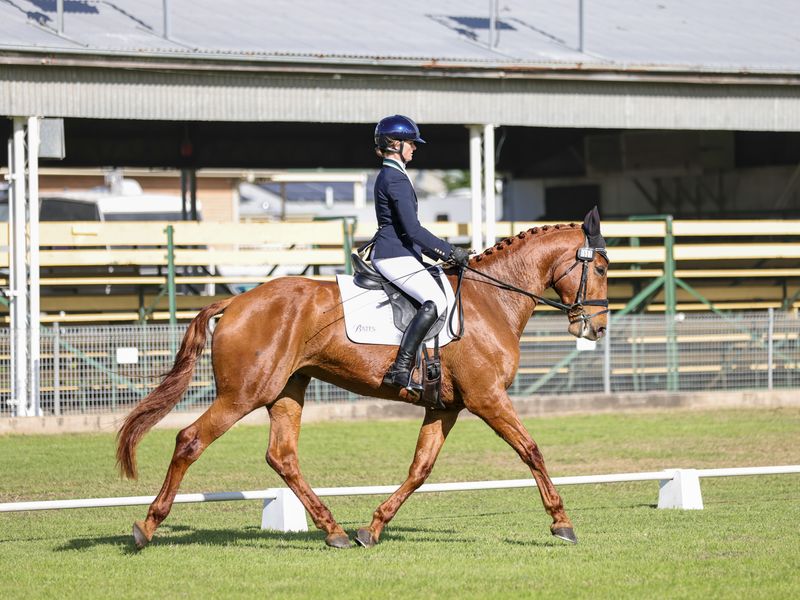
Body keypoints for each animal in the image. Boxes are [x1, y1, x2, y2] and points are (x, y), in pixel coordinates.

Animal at [116, 208, 609, 549]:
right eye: (602, 268)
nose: (597, 328)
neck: (491, 301)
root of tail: (236, 302)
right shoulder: (487, 398)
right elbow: (531, 450)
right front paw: (562, 523)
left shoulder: (445, 406)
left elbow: (420, 469)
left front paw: (372, 528)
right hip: (244, 393)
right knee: (190, 440)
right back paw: (146, 527)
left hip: (286, 390)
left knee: (282, 456)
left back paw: (333, 530)